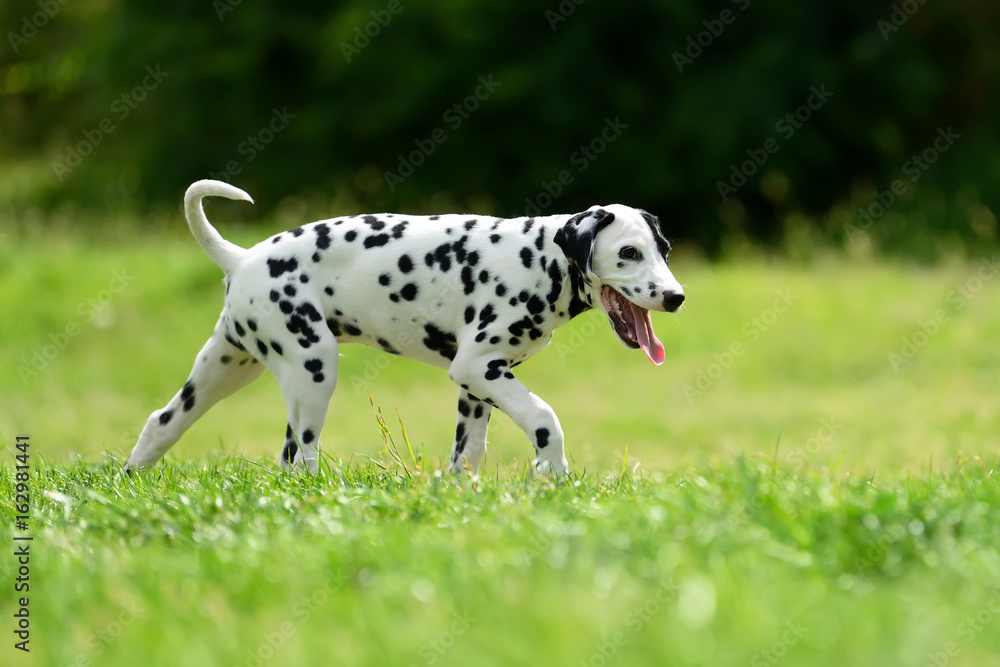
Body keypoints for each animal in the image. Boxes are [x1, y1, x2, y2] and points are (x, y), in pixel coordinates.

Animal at [125, 180, 684, 478]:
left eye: (664, 250)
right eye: (629, 253)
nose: (676, 297)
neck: (540, 257)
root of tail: (241, 258)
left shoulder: (477, 384)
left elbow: (468, 450)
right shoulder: (479, 366)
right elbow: (545, 417)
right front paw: (551, 474)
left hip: (226, 366)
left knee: (161, 421)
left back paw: (130, 477)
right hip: (312, 368)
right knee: (298, 456)